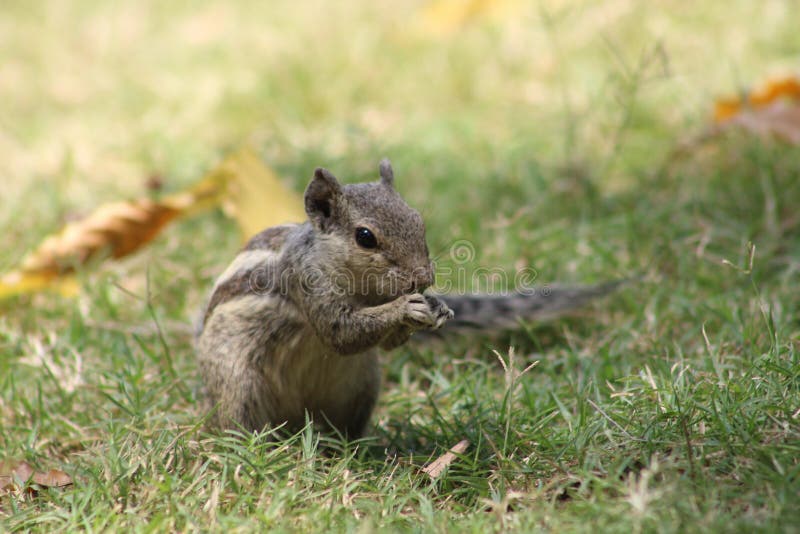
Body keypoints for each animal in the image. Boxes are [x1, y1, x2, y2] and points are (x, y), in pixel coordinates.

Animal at [195, 159, 621, 438]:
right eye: (365, 237)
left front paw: (433, 308)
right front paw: (404, 308)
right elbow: (340, 333)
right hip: (239, 385)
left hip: (361, 387)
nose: (424, 279)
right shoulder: (306, 285)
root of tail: (298, 424)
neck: (365, 288)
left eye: (419, 220)